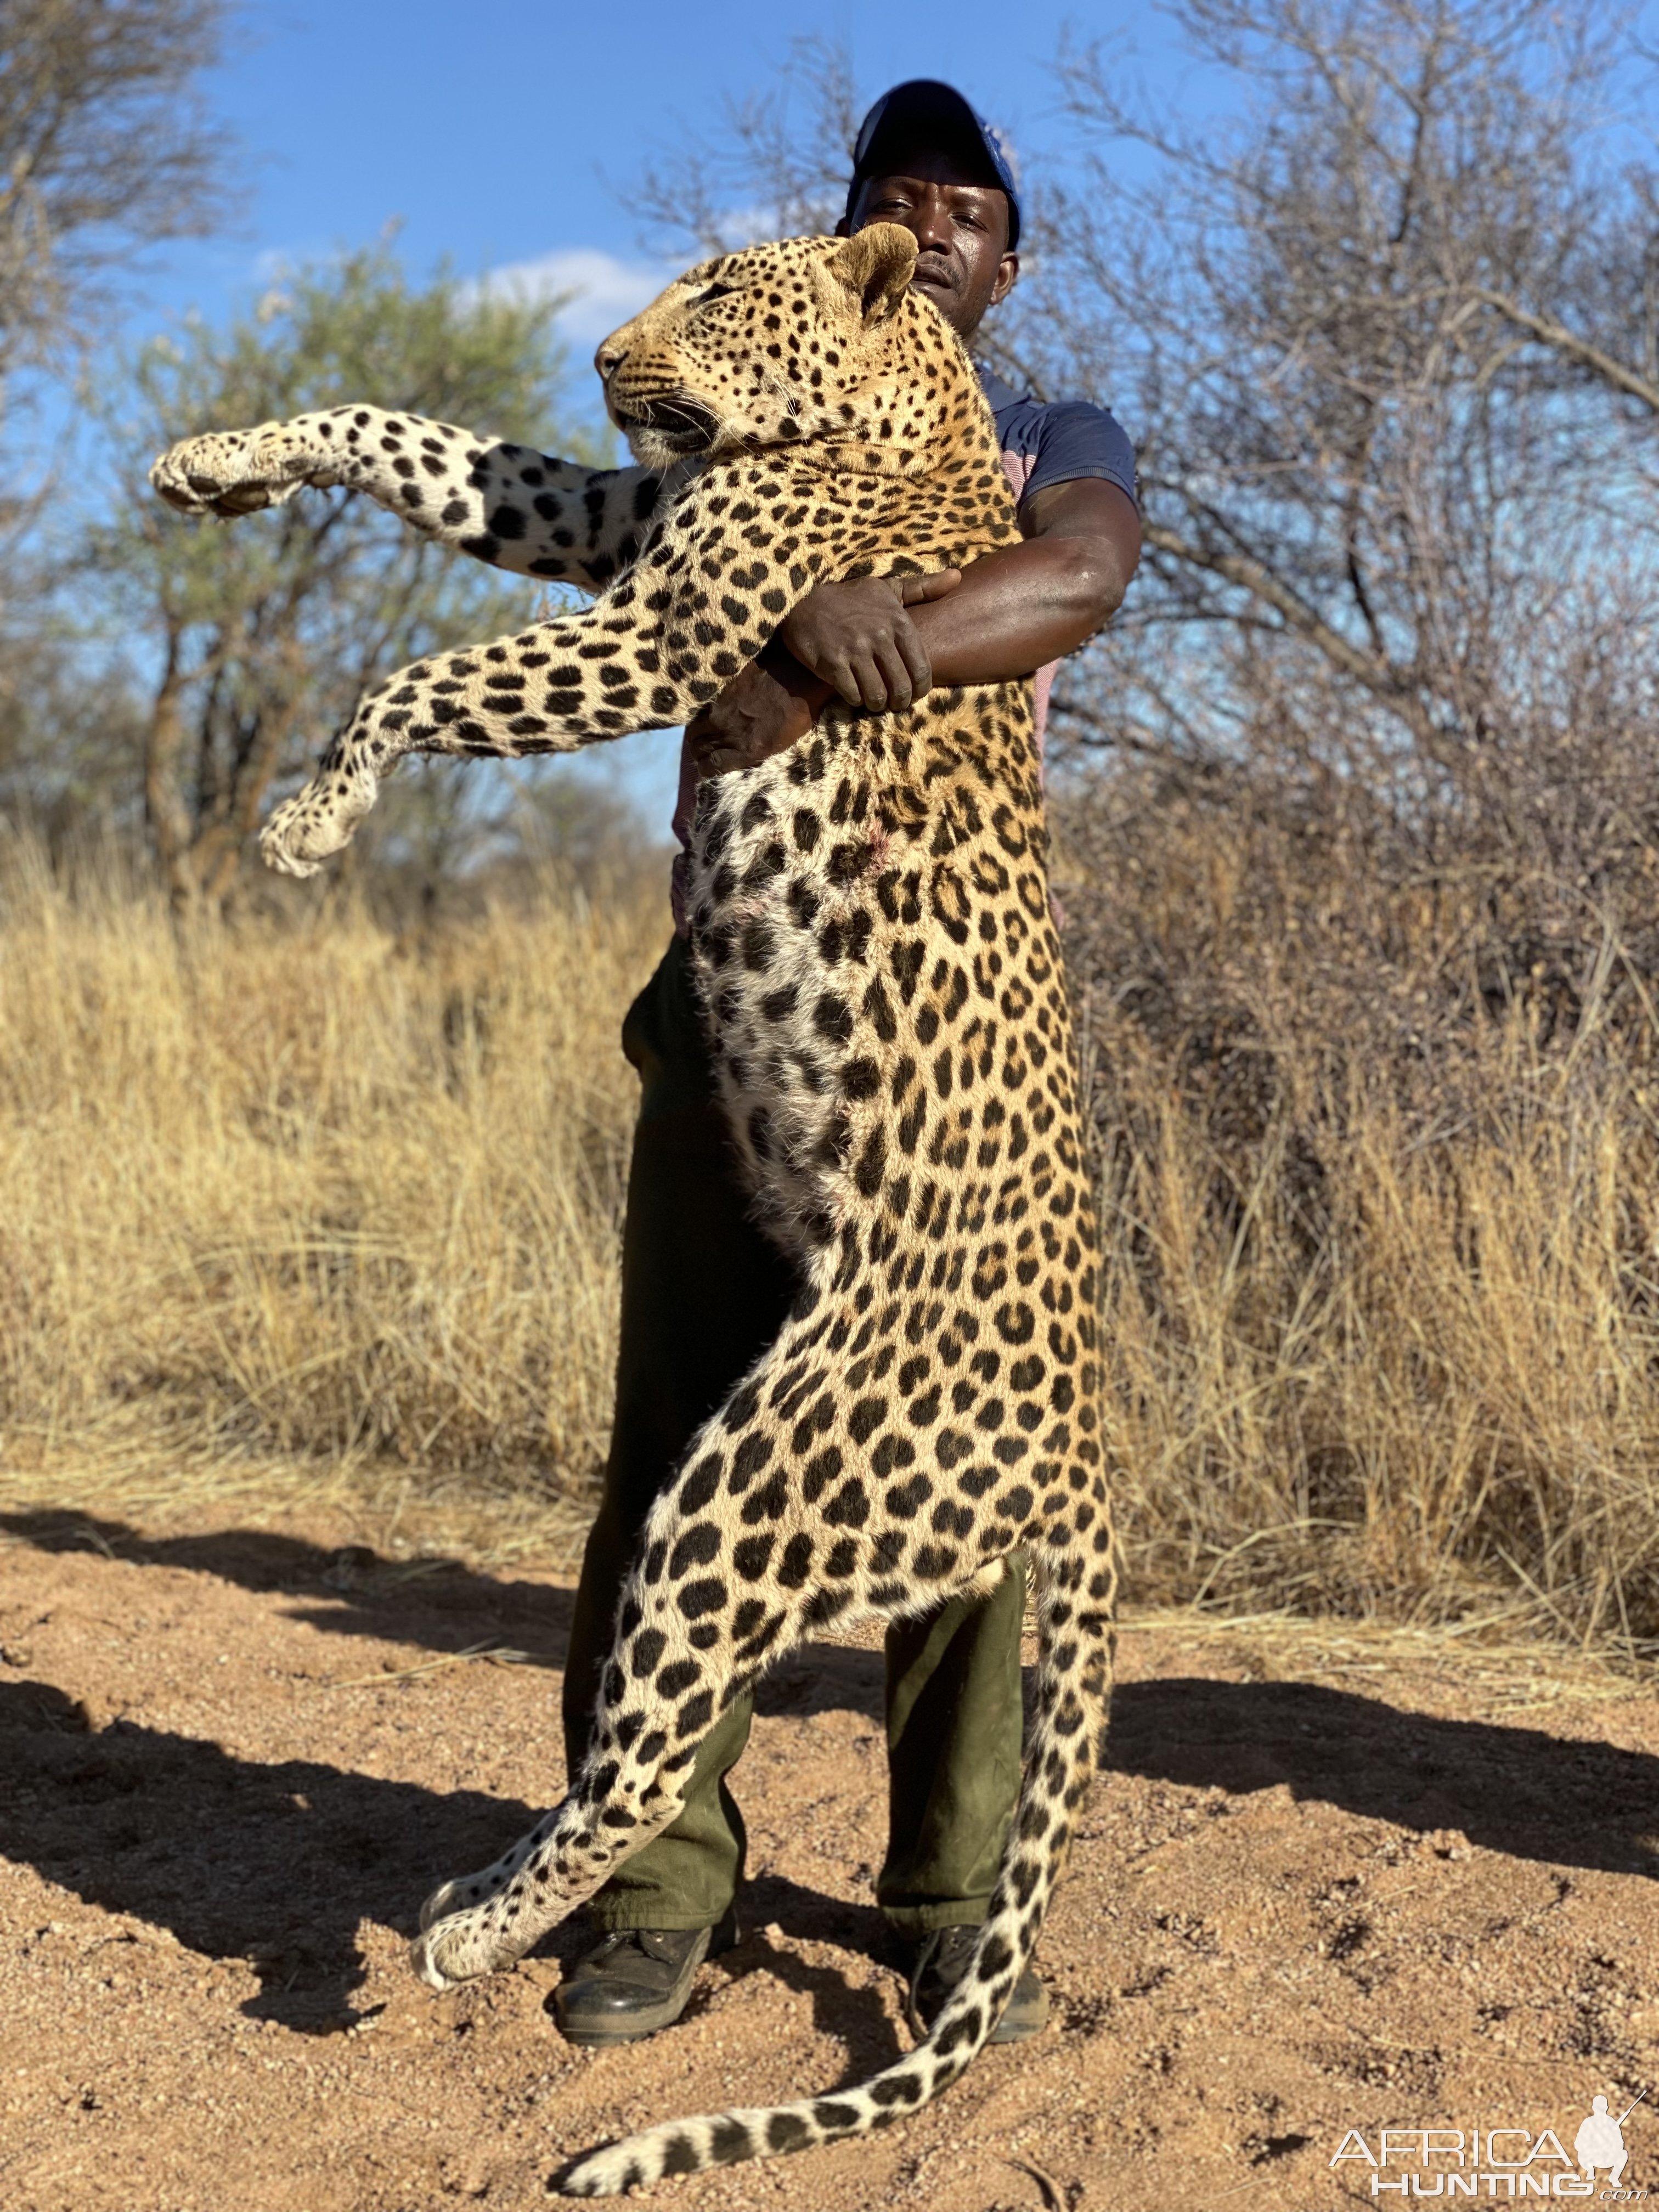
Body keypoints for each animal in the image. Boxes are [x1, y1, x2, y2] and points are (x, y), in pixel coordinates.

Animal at [153, 220, 1119, 2194]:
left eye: (719, 291)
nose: (602, 352)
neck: (905, 399)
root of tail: (1084, 1452)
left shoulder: (658, 632)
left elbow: (418, 680)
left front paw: (310, 819)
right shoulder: (603, 515)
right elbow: (406, 437)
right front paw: (219, 461)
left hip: (751, 1489)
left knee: (654, 1749)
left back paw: (472, 1929)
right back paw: (499, 1903)